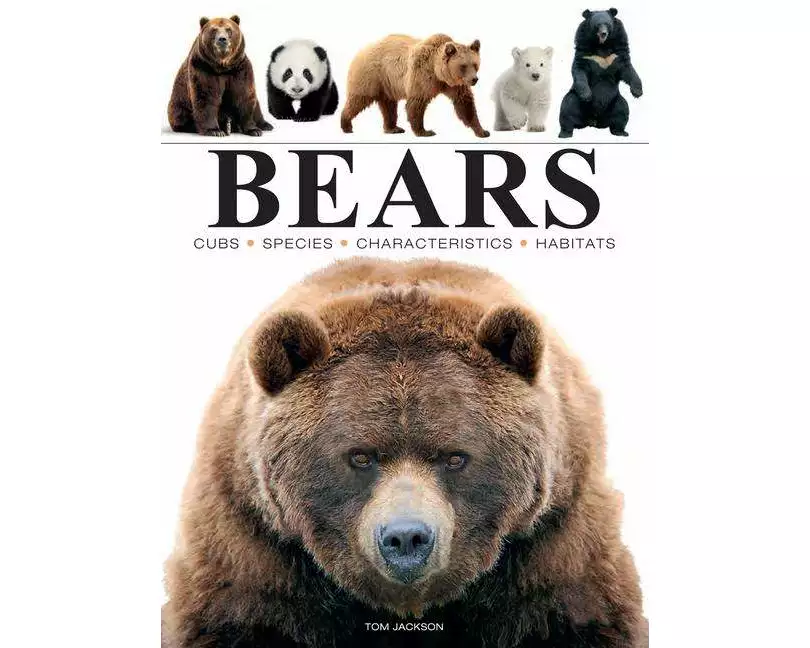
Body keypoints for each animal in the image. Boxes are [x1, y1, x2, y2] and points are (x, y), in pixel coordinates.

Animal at [340, 34, 490, 138]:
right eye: (463, 66)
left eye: (475, 64)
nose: (474, 79)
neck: (438, 73)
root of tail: (359, 51)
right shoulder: (422, 76)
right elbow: (417, 103)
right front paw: (425, 131)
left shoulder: (454, 85)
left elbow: (465, 104)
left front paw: (482, 131)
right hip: (370, 76)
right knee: (358, 100)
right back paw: (346, 125)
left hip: (387, 84)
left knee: (388, 106)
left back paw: (393, 128)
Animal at [558, 8, 643, 138]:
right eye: (597, 25)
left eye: (607, 24)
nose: (604, 33)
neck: (602, 45)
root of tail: (593, 121)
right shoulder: (585, 50)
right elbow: (579, 69)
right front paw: (587, 95)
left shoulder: (618, 50)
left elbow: (627, 69)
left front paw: (637, 92)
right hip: (574, 98)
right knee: (567, 109)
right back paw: (565, 133)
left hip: (615, 101)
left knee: (622, 110)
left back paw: (621, 132)